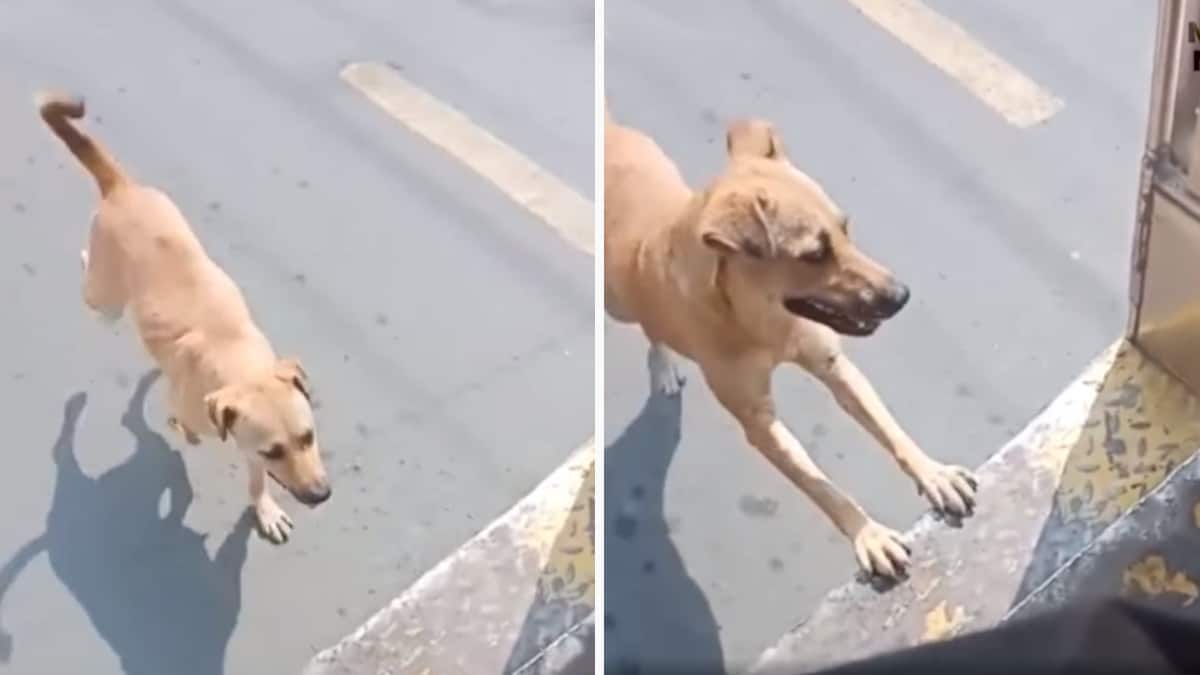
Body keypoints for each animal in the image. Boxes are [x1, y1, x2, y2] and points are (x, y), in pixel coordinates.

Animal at [38, 90, 328, 540]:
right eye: (273, 451)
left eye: (308, 437)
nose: (321, 495)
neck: (237, 359)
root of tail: (123, 189)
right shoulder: (217, 422)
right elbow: (183, 436)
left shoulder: (245, 437)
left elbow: (255, 480)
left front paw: (263, 508)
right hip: (105, 296)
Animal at [604, 107, 979, 576]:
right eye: (814, 254)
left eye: (845, 227)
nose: (901, 296)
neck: (762, 320)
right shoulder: (761, 424)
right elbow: (821, 487)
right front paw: (868, 534)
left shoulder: (835, 367)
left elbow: (890, 429)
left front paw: (933, 473)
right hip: (616, 302)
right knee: (648, 325)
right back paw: (664, 361)